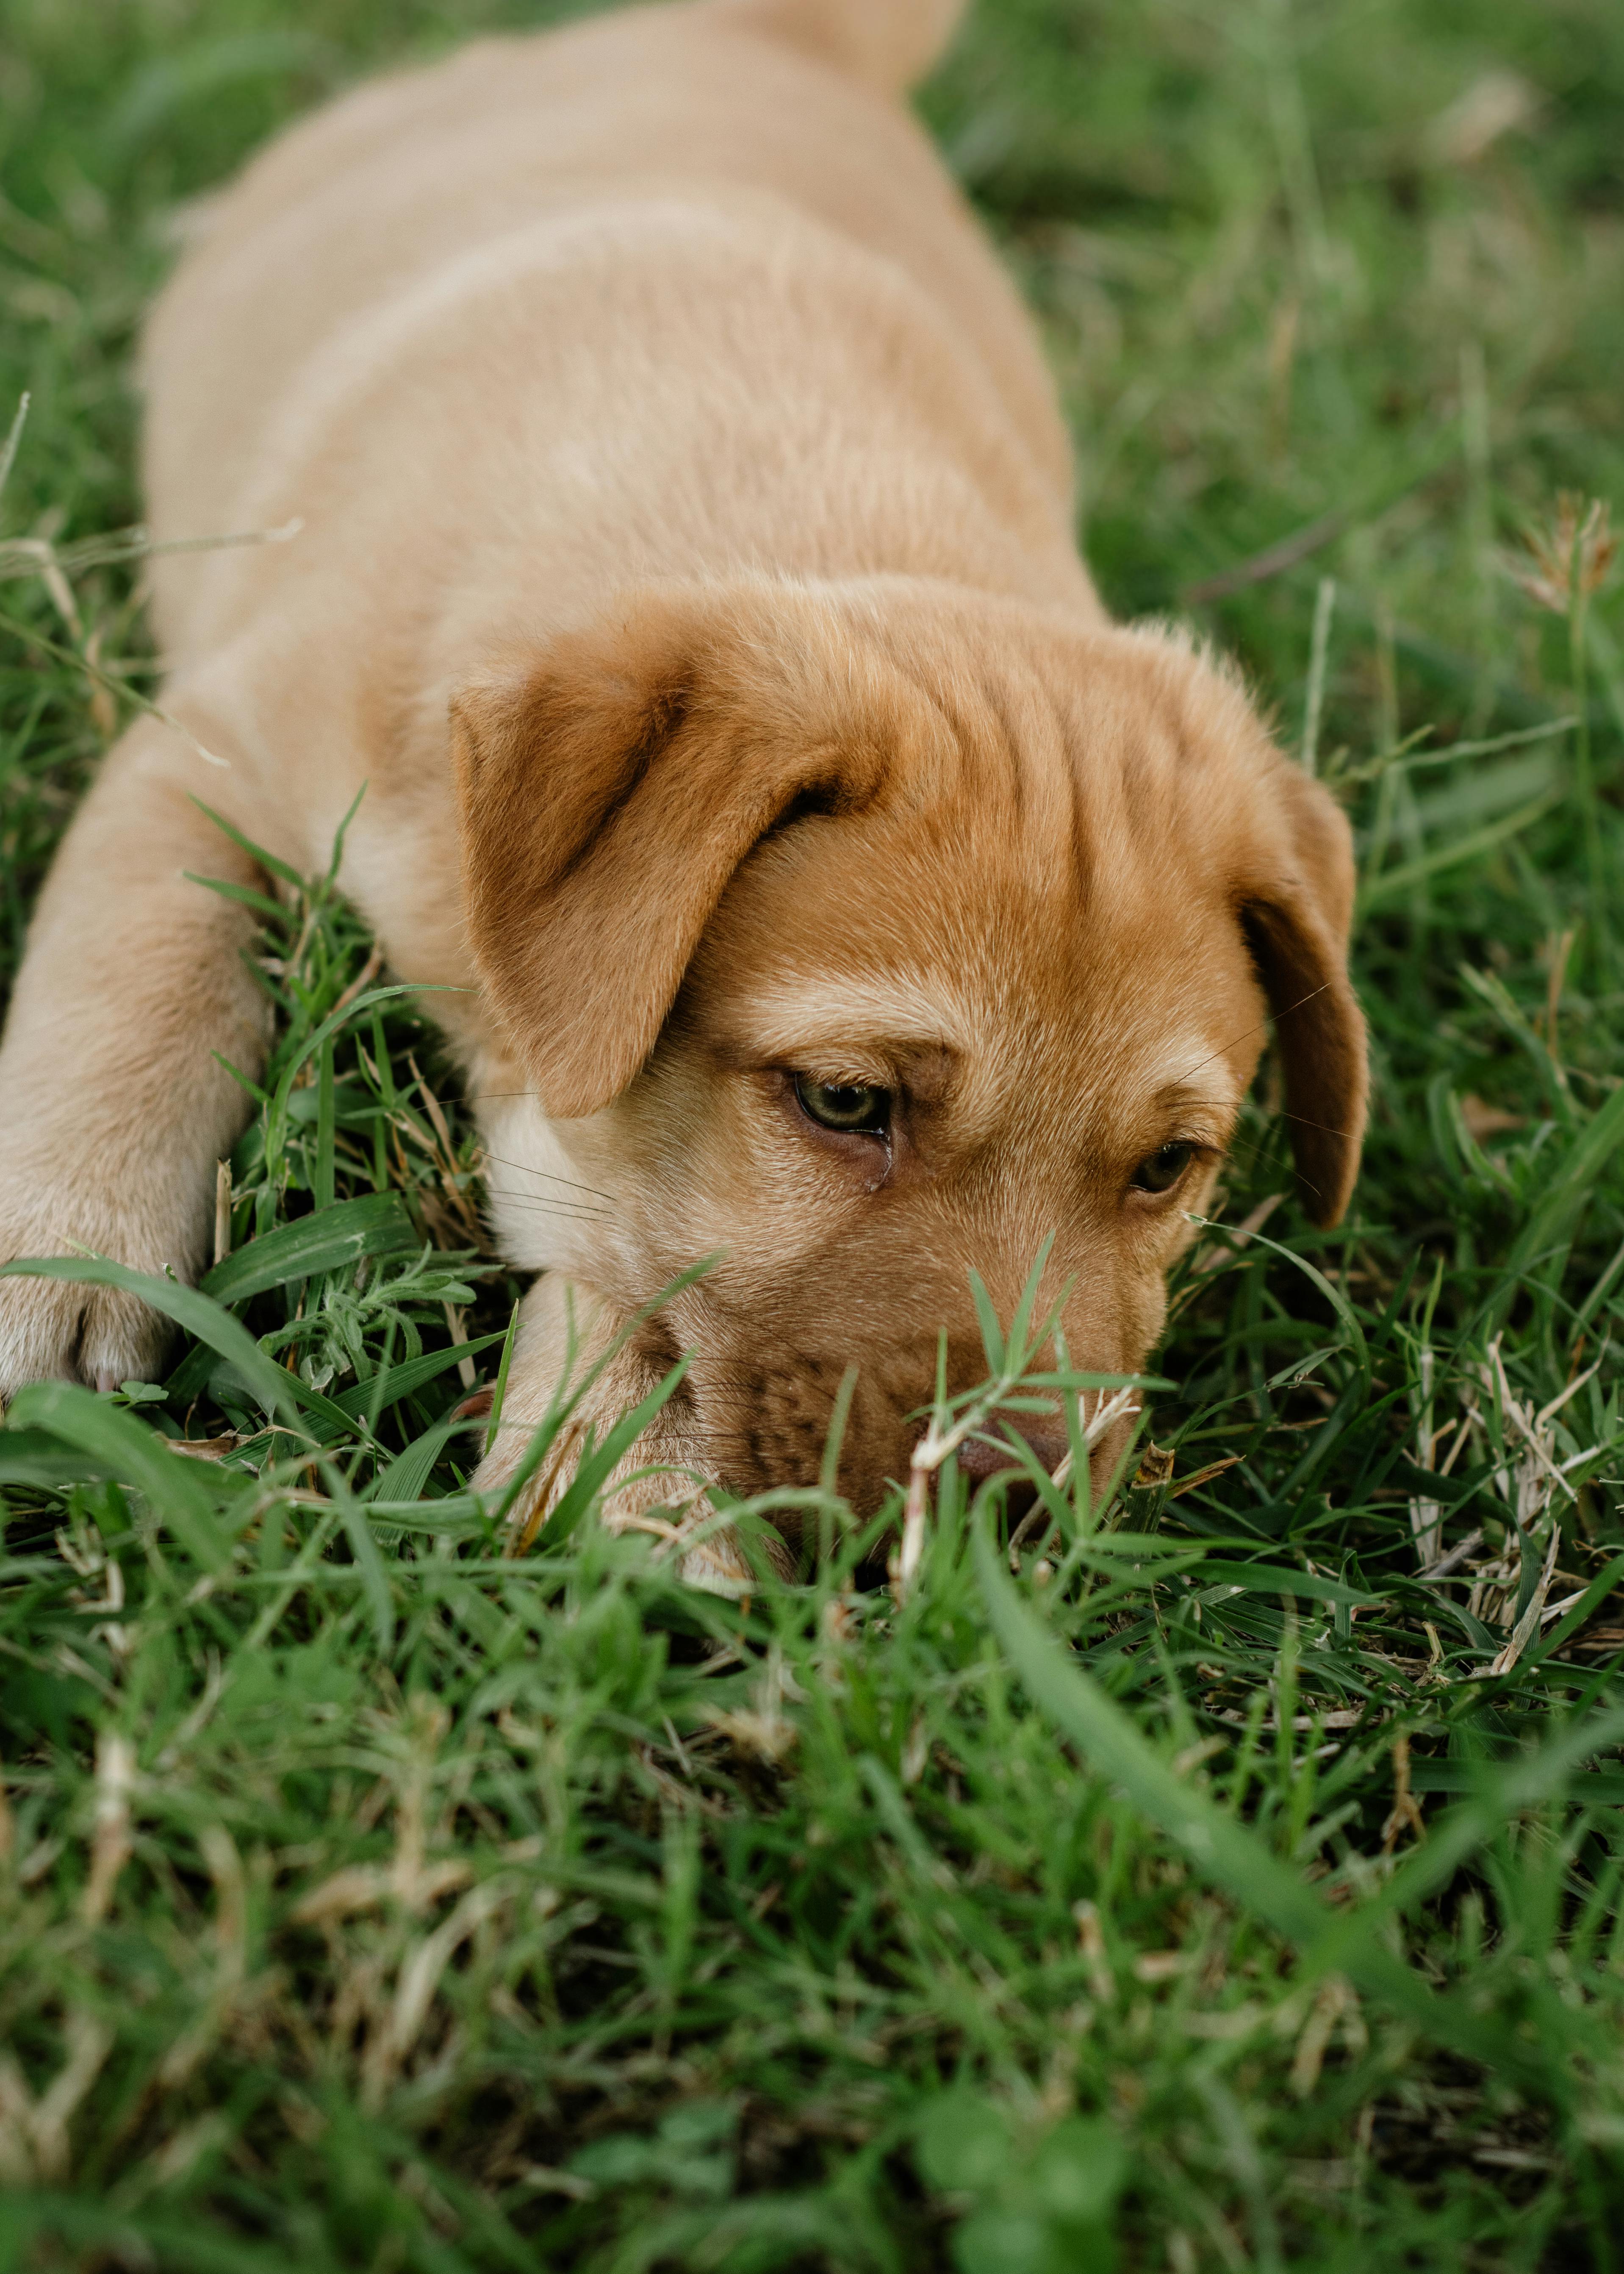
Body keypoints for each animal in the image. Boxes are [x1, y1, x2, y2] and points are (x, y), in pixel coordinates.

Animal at [0, 0, 1364, 1573]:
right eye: (843, 1102)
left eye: (1168, 1167)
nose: (1002, 1515)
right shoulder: (212, 742)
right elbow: (132, 979)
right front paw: (63, 1247)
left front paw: (633, 1485)